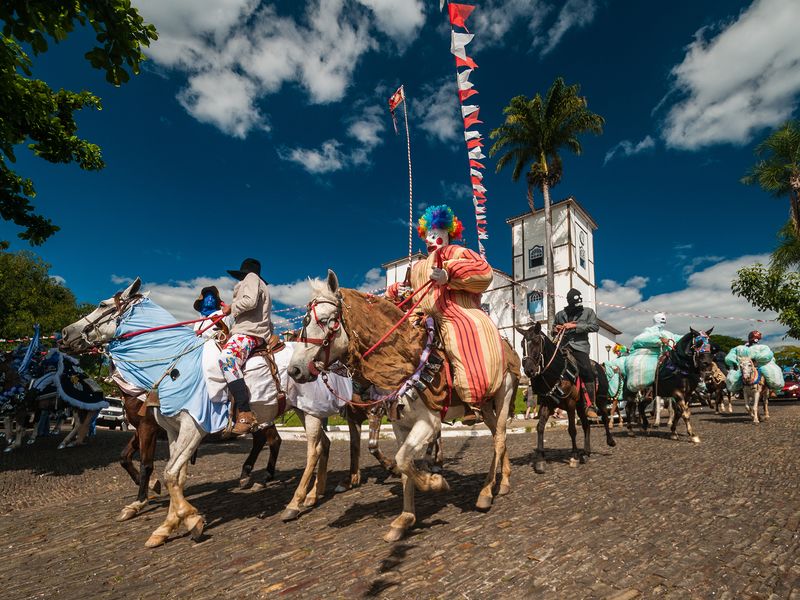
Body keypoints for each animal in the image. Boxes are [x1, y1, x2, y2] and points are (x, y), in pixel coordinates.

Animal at [57, 278, 352, 548]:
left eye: (102, 304)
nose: (65, 333)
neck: (172, 365)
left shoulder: (188, 426)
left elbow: (165, 472)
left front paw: (188, 517)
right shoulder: (173, 431)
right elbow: (176, 476)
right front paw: (168, 525)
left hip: (309, 411)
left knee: (313, 449)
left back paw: (295, 502)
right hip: (304, 410)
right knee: (318, 444)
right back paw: (312, 493)